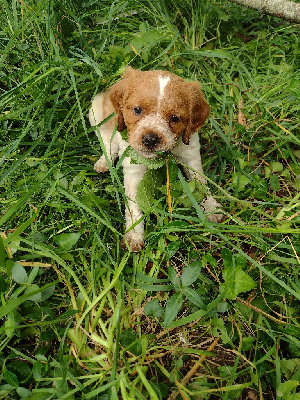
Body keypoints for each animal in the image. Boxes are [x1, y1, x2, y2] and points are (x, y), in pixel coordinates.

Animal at [89, 67, 223, 252]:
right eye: (137, 110)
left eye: (174, 118)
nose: (150, 139)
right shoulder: (133, 167)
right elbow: (133, 204)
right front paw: (134, 235)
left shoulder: (190, 153)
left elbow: (200, 183)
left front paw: (211, 208)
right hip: (97, 111)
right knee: (108, 139)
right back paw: (104, 162)